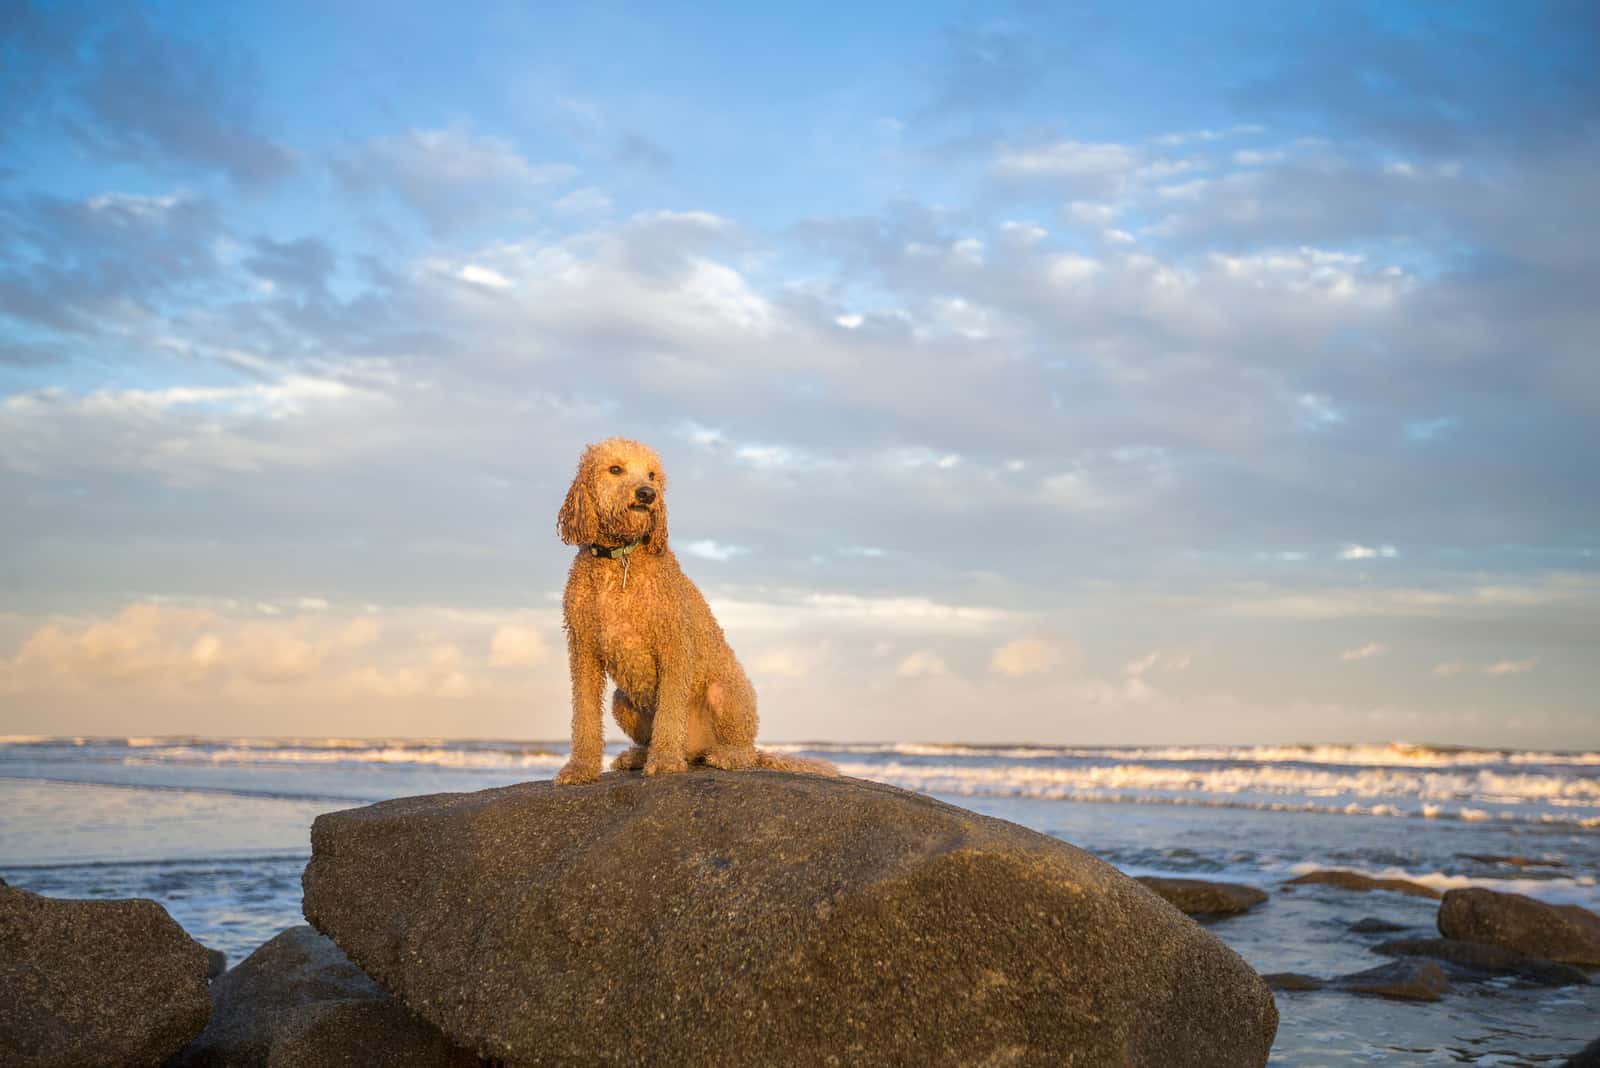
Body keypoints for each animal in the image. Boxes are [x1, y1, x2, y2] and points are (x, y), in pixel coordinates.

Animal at [553, 434, 838, 783]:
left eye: (652, 475)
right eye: (615, 469)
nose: (647, 494)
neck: (621, 559)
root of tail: (697, 749)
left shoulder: (674, 645)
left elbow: (670, 712)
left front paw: (664, 760)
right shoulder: (583, 651)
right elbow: (584, 715)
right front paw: (580, 768)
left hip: (726, 693)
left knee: (743, 750)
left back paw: (724, 756)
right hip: (623, 701)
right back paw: (638, 755)